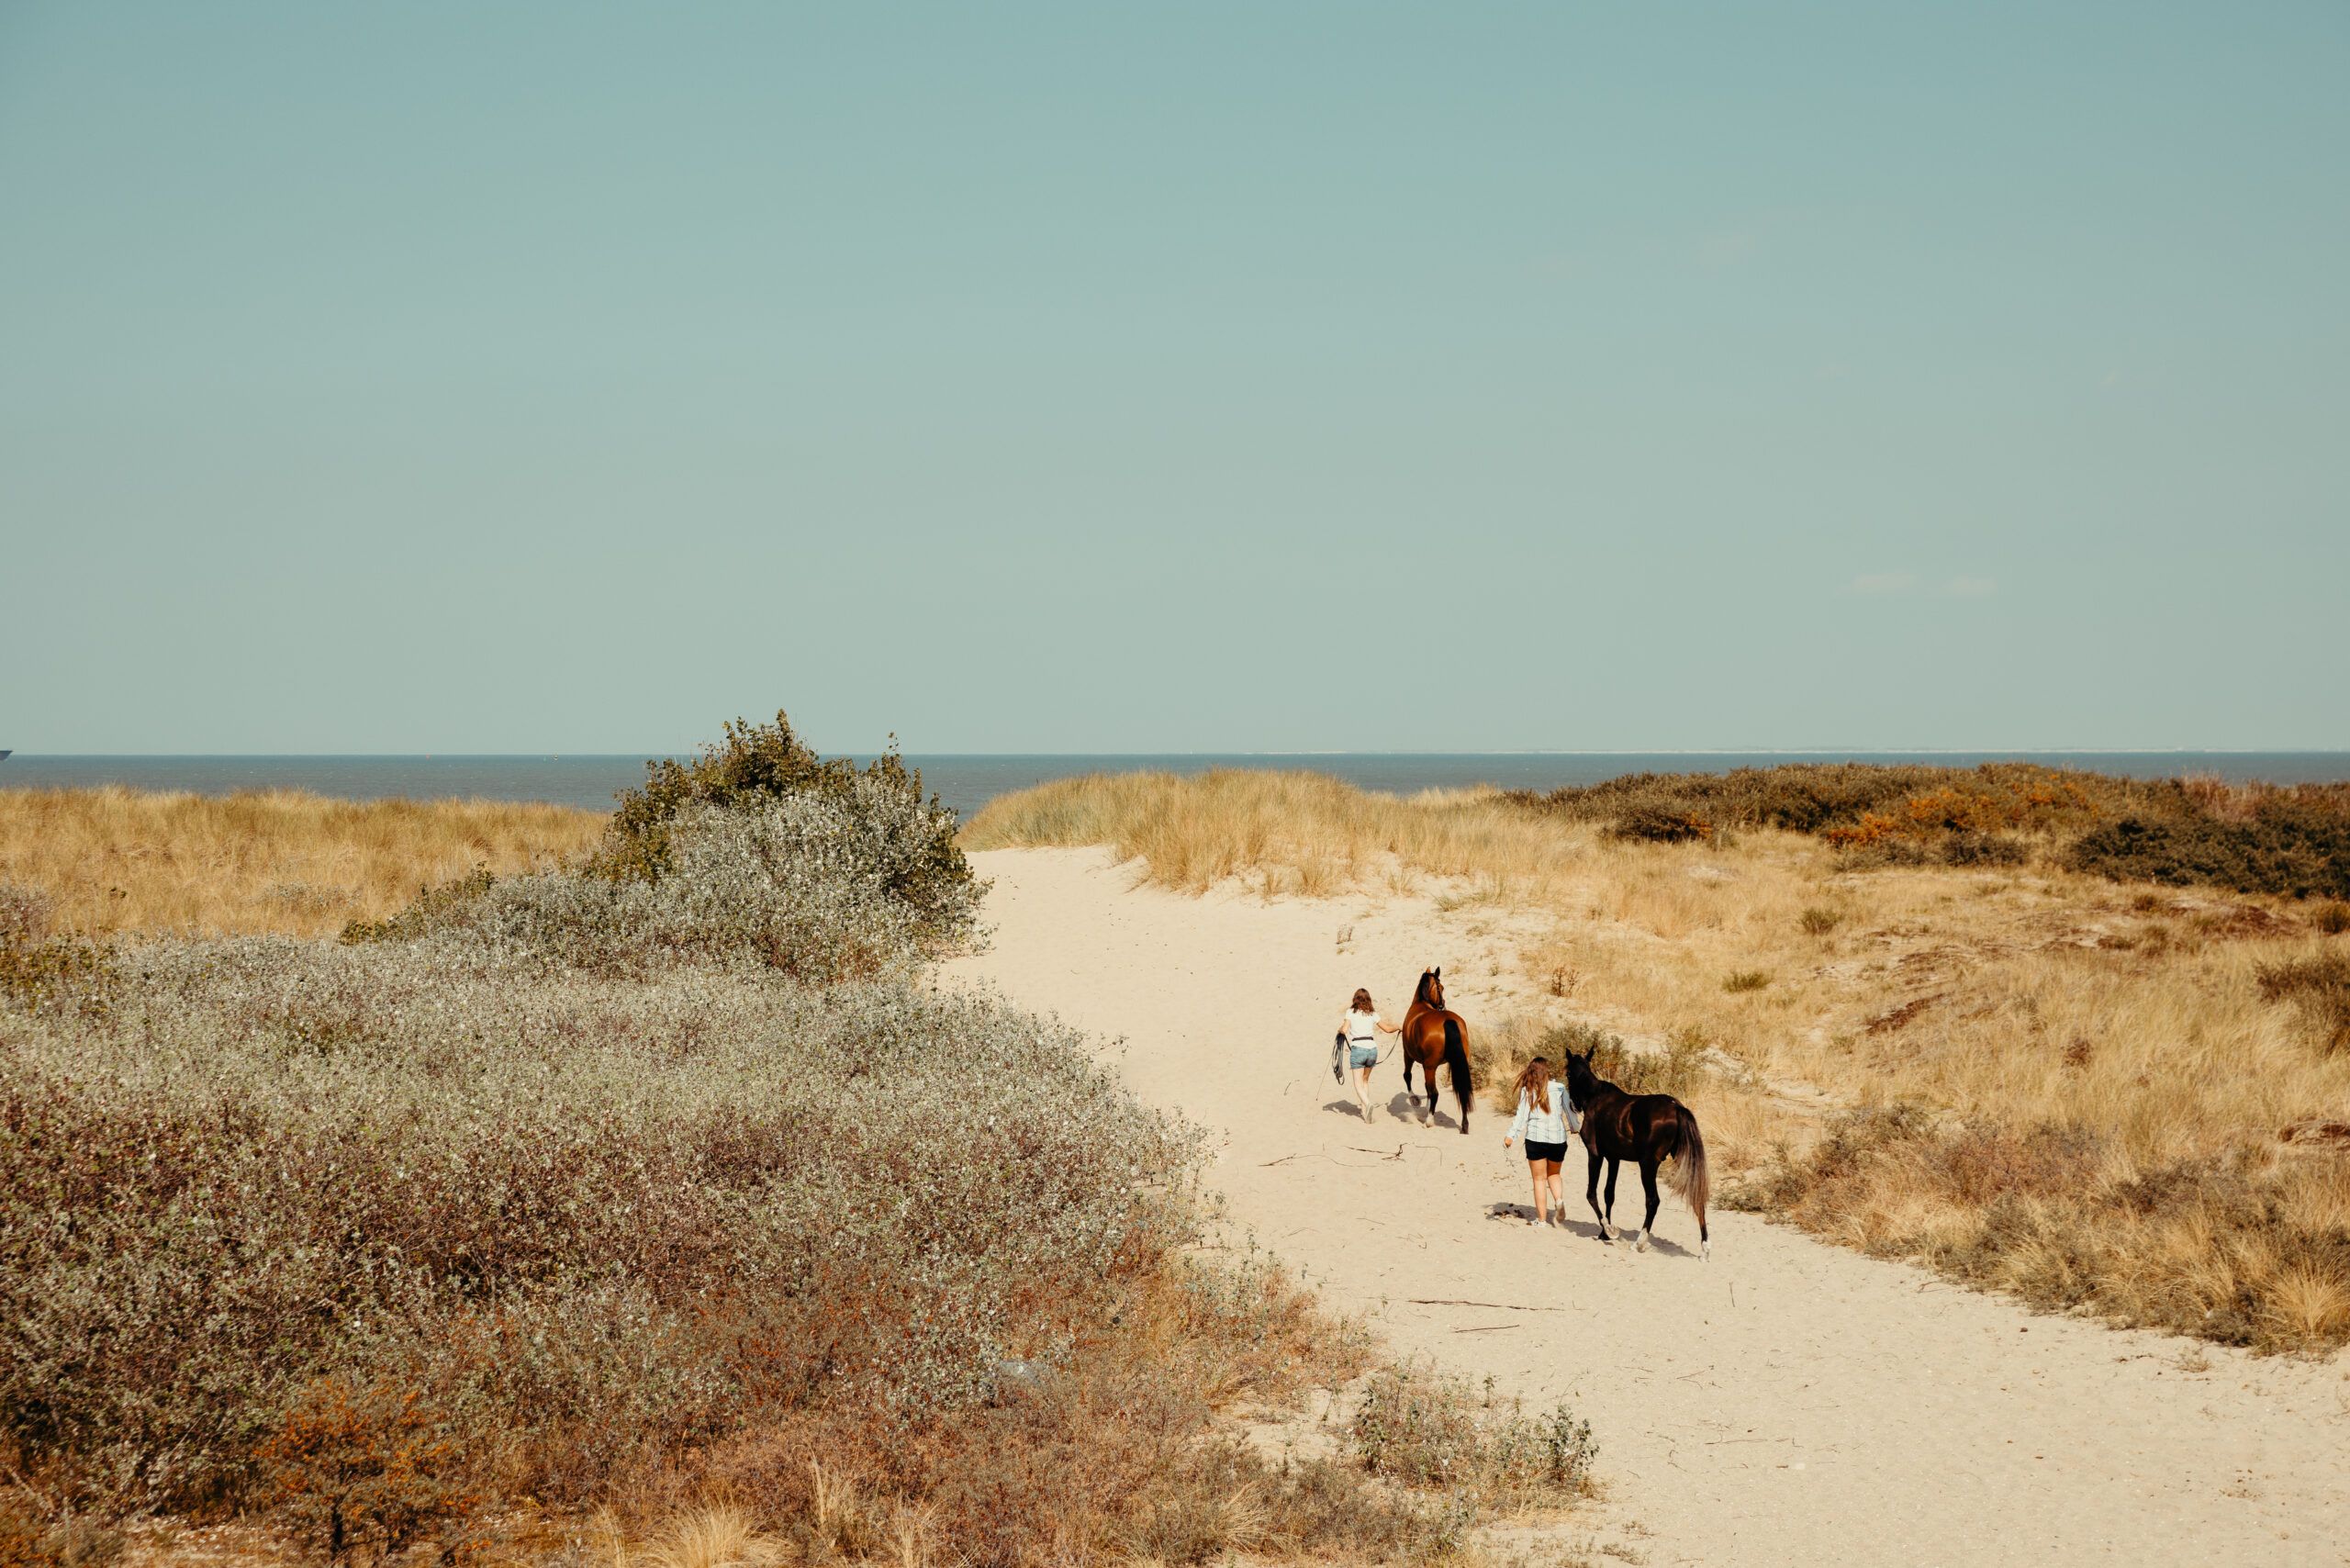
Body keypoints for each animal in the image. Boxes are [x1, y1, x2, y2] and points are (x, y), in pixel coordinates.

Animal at [1391, 963, 1466, 1133]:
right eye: (1442, 988)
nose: (1442, 1004)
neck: (1421, 1003)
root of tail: (1448, 1021)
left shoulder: (1408, 1055)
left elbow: (1407, 1076)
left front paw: (1414, 1100)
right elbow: (1426, 1086)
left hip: (1428, 1066)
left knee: (1435, 1092)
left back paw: (1429, 1121)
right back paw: (1465, 1126)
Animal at [1560, 1048, 1710, 1260]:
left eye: (1568, 1074)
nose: (1575, 1105)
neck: (1596, 1098)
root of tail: (1676, 1107)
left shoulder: (1595, 1155)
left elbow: (1591, 1194)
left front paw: (1609, 1230)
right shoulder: (1614, 1158)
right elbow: (1609, 1194)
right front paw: (1604, 1233)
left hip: (1647, 1165)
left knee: (1653, 1201)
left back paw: (1639, 1242)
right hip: (1685, 1162)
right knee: (1698, 1198)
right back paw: (1705, 1248)